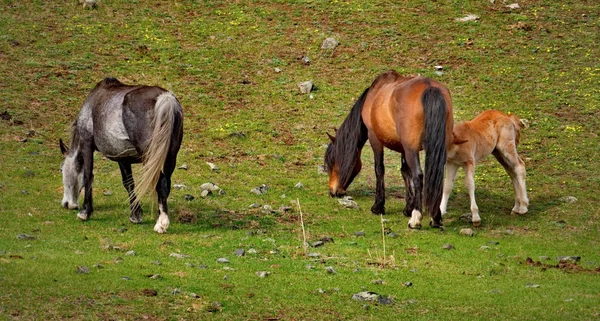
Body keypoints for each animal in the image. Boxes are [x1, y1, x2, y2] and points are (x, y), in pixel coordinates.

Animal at [60, 77, 184, 232]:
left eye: (62, 170)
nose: (66, 204)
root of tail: (165, 98)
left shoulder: (87, 144)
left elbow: (88, 176)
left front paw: (85, 212)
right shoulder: (122, 158)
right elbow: (128, 183)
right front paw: (136, 214)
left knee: (160, 182)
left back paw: (161, 223)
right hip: (170, 156)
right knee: (166, 182)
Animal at [326, 70, 452, 228]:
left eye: (332, 163)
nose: (332, 191)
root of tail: (429, 87)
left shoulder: (375, 139)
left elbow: (380, 169)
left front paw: (378, 206)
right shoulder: (403, 148)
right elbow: (405, 172)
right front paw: (408, 208)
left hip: (412, 149)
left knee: (418, 176)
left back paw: (416, 218)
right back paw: (435, 217)